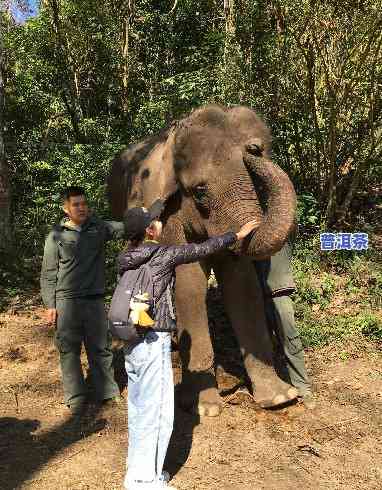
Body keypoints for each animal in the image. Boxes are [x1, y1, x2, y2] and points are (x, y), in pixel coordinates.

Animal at [107, 105, 298, 416]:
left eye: (257, 183)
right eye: (199, 191)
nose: (254, 148)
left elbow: (242, 285)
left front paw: (281, 398)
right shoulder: (169, 214)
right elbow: (190, 285)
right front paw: (204, 409)